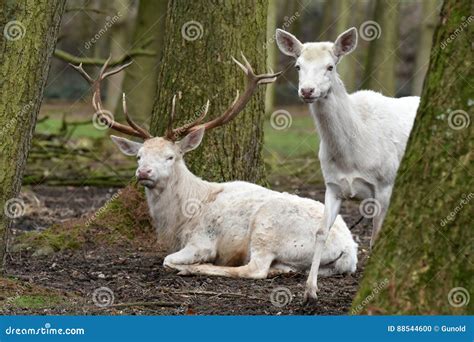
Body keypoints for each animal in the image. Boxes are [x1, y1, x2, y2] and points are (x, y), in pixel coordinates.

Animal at [72, 54, 358, 288]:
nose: (144, 173)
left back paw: (197, 269)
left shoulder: (202, 241)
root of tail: (350, 250)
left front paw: (190, 264)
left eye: (170, 156)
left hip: (268, 227)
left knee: (255, 269)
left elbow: (167, 259)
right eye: (139, 156)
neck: (179, 219)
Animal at [276, 26, 420, 300]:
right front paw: (310, 291)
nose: (307, 91)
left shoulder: (384, 185)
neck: (351, 155)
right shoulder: (332, 185)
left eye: (330, 66)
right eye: (298, 66)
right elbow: (322, 232)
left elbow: (375, 236)